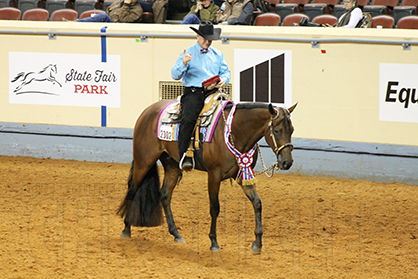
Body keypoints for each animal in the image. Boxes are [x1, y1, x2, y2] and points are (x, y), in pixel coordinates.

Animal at [117, 99, 298, 255]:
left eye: (292, 130)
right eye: (277, 130)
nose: (287, 162)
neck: (235, 132)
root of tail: (147, 112)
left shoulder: (243, 175)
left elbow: (257, 203)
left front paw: (257, 243)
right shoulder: (214, 175)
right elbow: (215, 207)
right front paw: (214, 242)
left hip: (172, 164)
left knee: (165, 195)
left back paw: (176, 234)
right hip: (144, 161)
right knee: (132, 189)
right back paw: (126, 229)